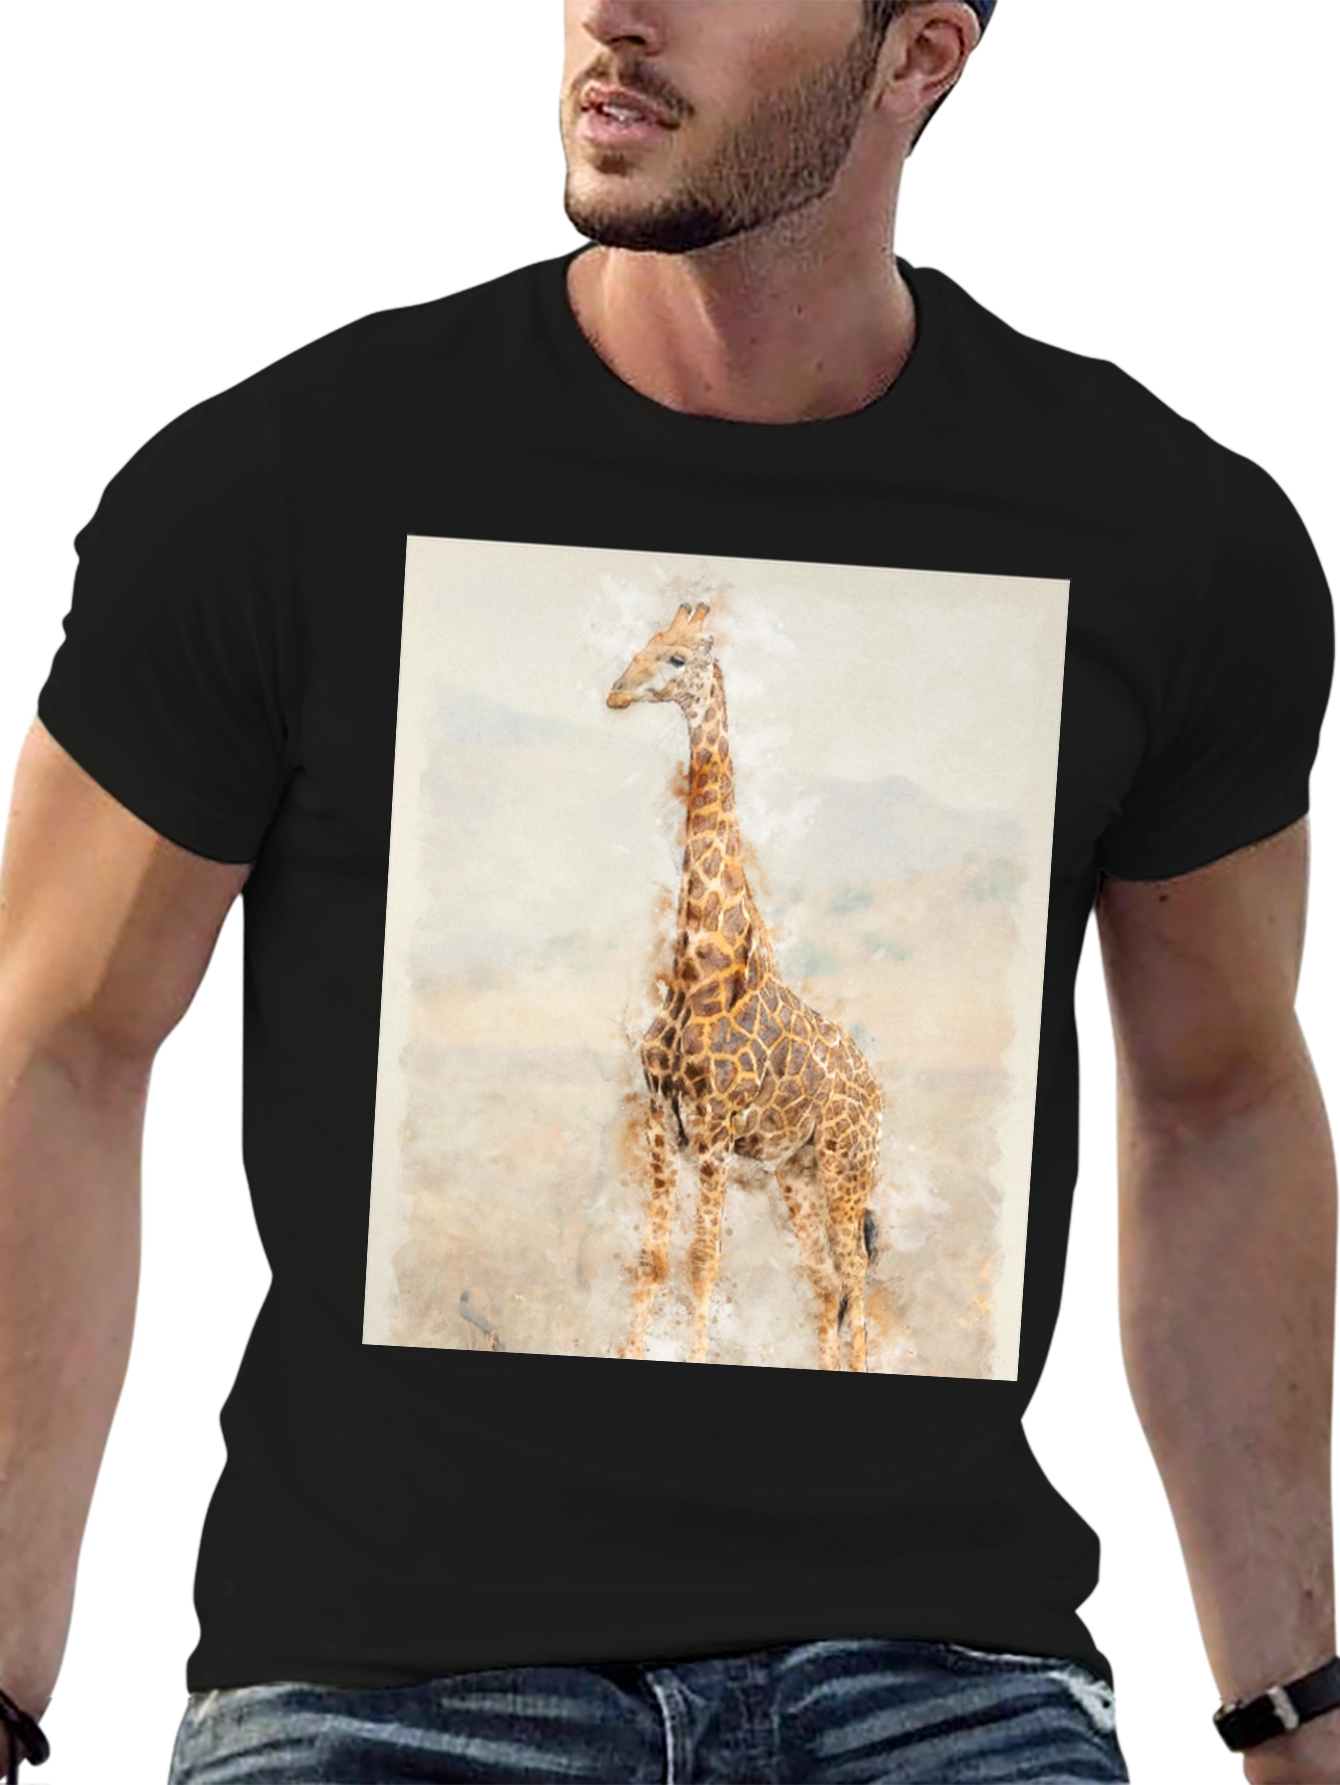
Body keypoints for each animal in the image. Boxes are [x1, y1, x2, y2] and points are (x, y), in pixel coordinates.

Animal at [607, 599, 884, 1371]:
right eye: (643, 643)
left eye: (677, 657)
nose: (617, 691)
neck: (698, 974)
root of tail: (878, 1094)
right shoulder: (660, 1123)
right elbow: (652, 1259)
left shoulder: (714, 1132)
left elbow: (704, 1259)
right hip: (798, 1170)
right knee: (825, 1282)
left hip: (847, 1163)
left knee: (856, 1274)